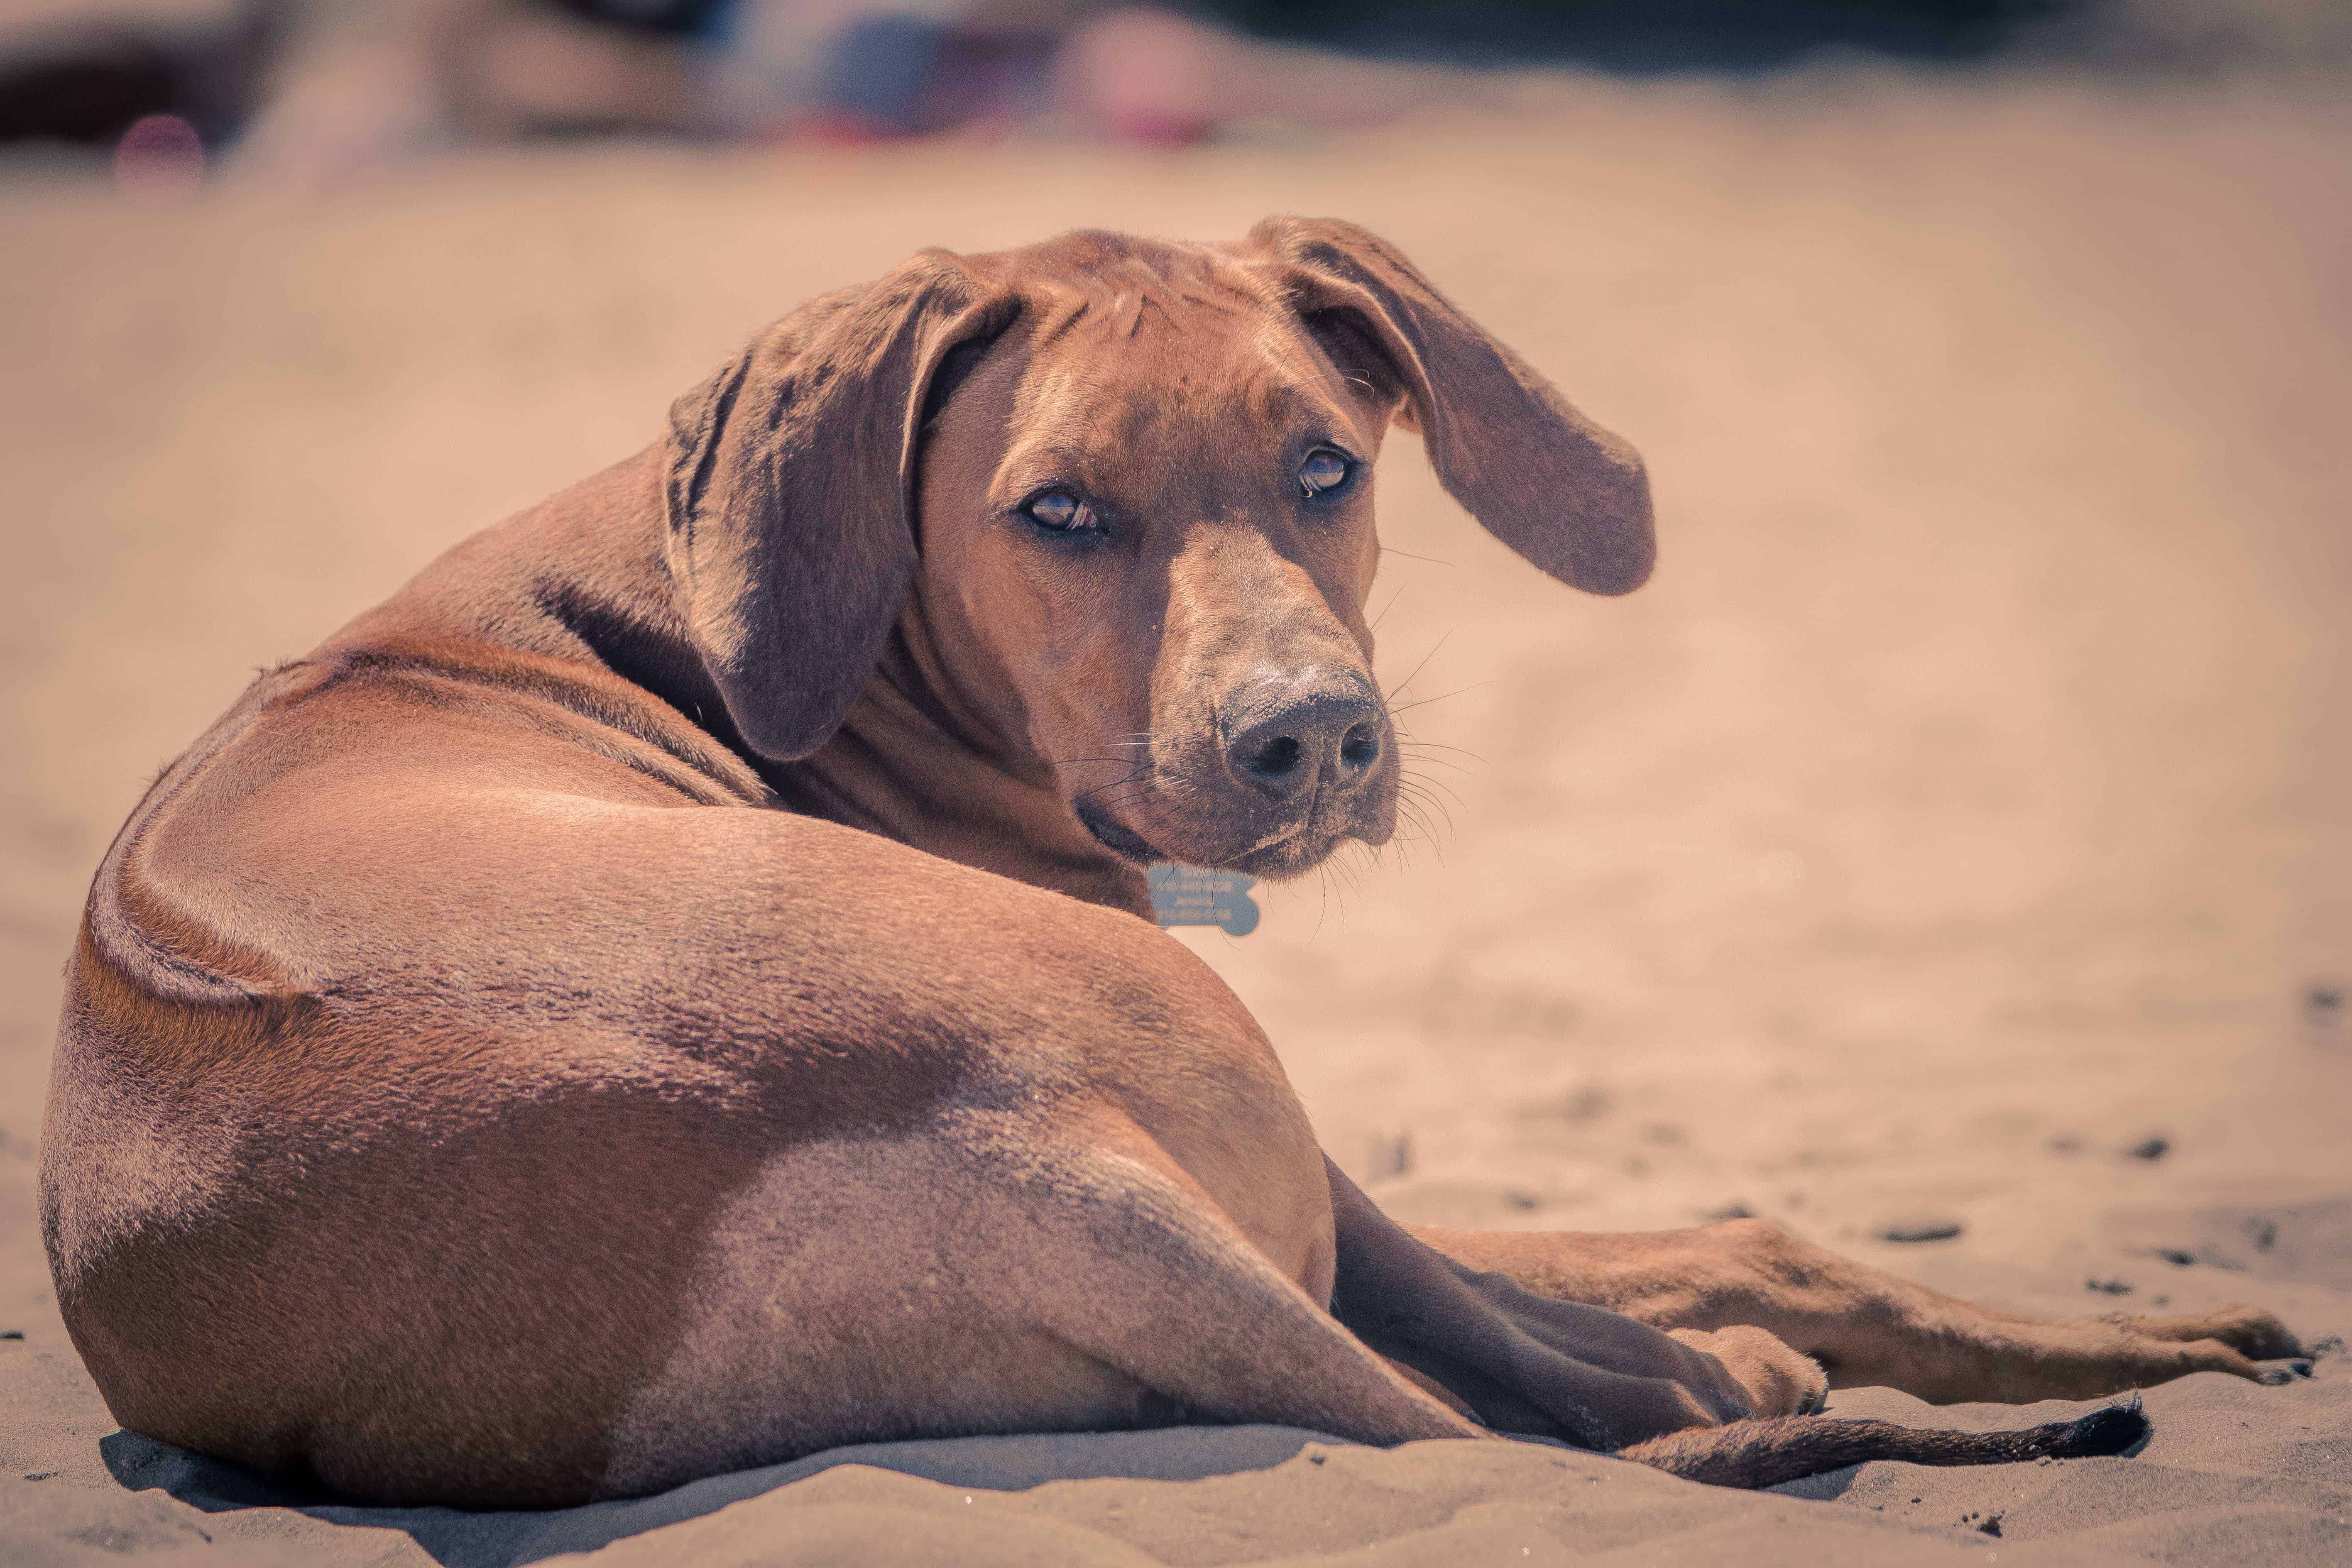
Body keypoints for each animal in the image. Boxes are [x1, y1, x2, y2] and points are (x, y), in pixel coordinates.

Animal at [41, 217, 2314, 1504]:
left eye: (1326, 466)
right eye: (1055, 510)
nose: (1308, 737)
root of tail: (987, 1128)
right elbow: (1672, 1265)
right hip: (1224, 1082)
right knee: (1598, 1356)